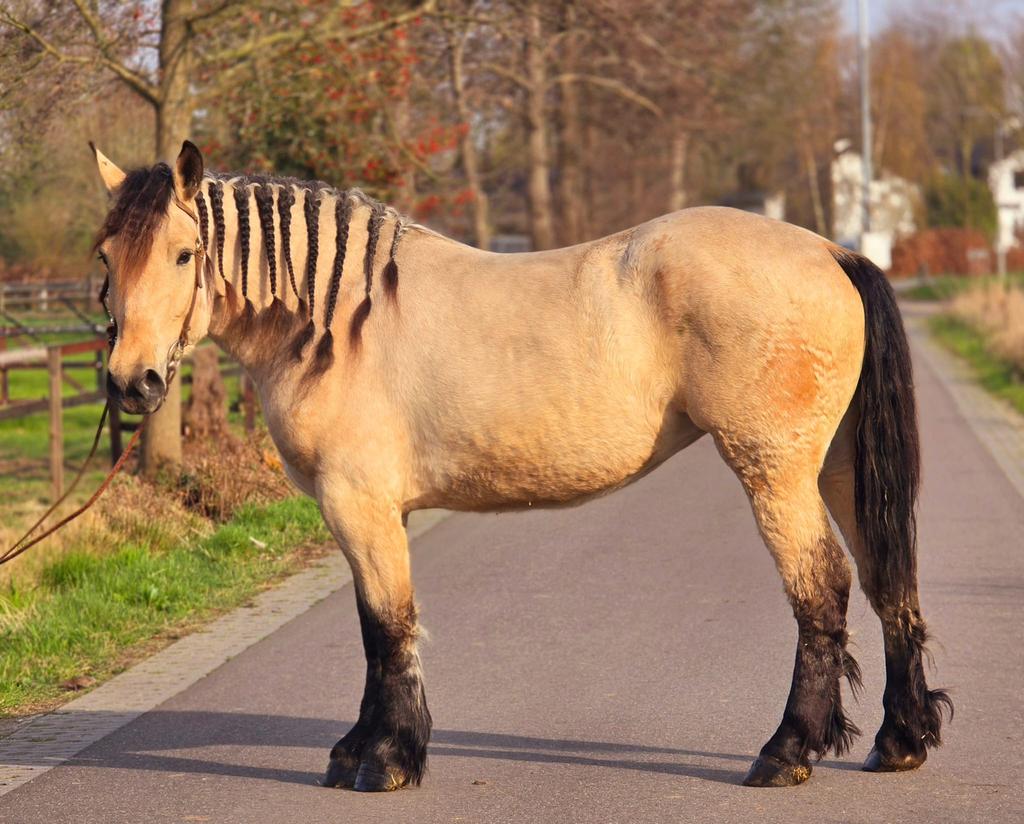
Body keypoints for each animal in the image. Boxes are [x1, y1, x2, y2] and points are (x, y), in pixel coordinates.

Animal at [90, 140, 951, 792]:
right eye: (106, 255)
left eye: (184, 253)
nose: (134, 381)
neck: (340, 322)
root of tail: (833, 251)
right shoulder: (366, 514)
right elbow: (377, 627)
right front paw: (362, 750)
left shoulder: (359, 504)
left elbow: (388, 625)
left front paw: (386, 760)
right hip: (834, 468)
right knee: (888, 583)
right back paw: (900, 741)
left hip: (774, 471)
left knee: (822, 590)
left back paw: (786, 752)